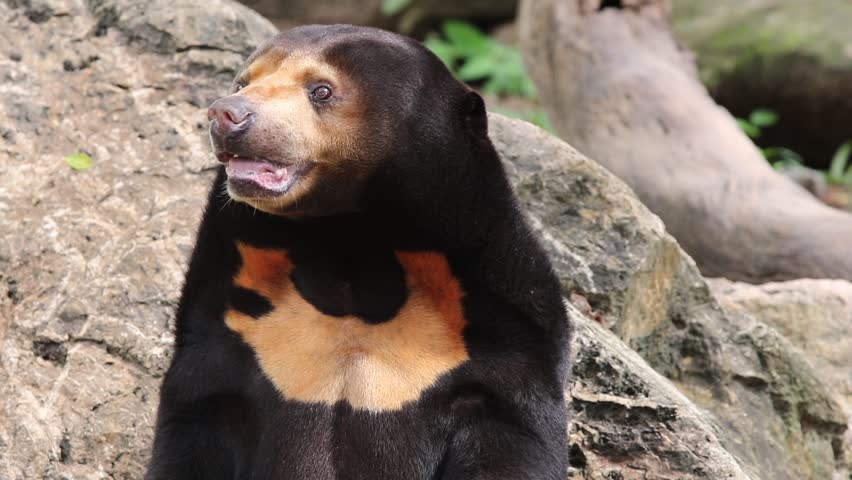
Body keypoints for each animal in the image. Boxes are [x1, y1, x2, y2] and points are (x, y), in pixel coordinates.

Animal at [146, 24, 572, 478]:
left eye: (322, 90)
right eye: (242, 82)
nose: (226, 114)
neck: (350, 242)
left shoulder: (503, 337)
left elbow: (515, 438)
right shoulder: (232, 319)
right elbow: (196, 416)